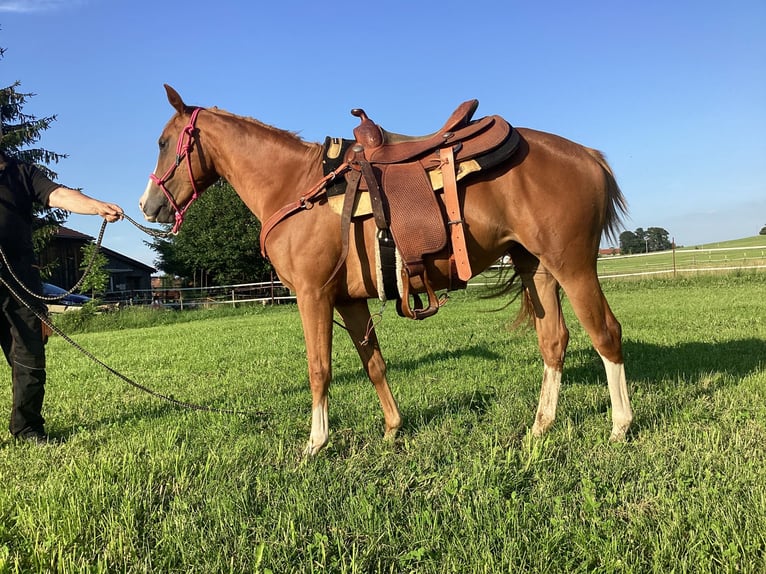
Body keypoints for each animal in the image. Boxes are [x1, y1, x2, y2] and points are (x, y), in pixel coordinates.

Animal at [140, 85, 636, 456]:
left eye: (163, 143)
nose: (149, 205)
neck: (297, 186)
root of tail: (588, 155)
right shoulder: (348, 300)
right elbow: (373, 363)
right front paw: (393, 428)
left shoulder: (313, 295)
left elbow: (319, 368)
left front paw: (315, 444)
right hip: (537, 268)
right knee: (554, 341)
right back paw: (541, 426)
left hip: (573, 266)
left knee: (606, 333)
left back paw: (620, 426)